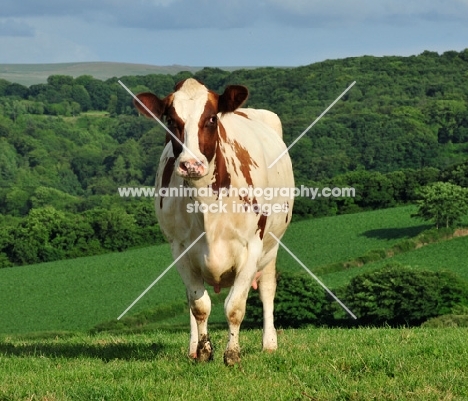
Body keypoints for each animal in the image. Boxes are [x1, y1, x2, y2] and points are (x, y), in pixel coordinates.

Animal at [134, 76, 292, 364]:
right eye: (170, 120)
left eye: (210, 119)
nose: (191, 164)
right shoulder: (179, 249)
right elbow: (199, 305)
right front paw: (204, 351)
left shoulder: (252, 245)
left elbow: (235, 307)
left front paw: (232, 354)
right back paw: (192, 348)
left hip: (272, 246)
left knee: (267, 289)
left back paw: (269, 344)